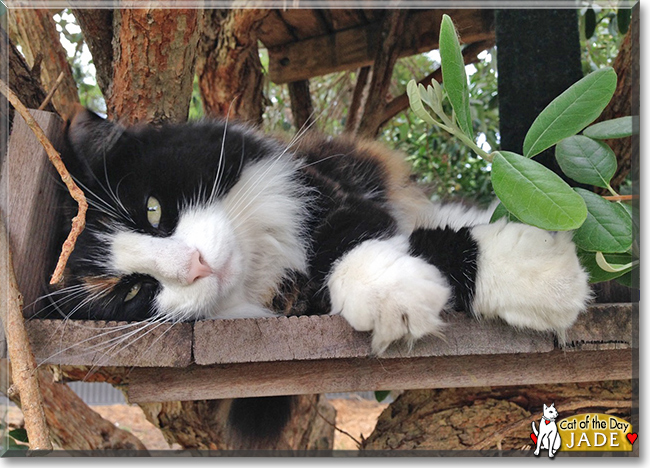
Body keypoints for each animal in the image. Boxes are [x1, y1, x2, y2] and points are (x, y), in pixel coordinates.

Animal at [49, 107, 588, 446]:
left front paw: (543, 273)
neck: (262, 270)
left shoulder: (331, 199)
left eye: (153, 211)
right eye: (134, 290)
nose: (196, 264)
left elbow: (360, 240)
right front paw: (395, 295)